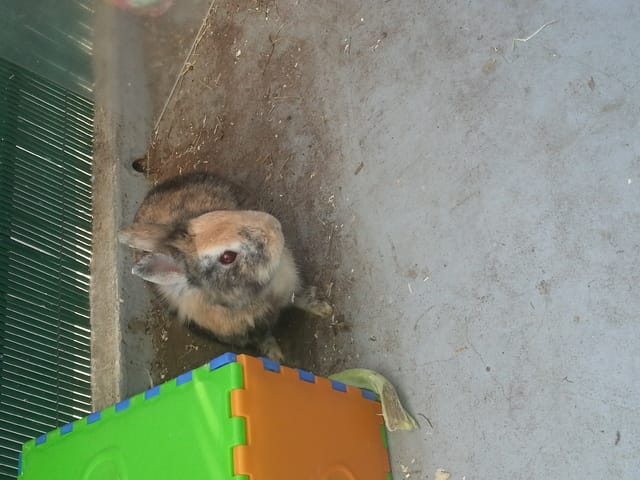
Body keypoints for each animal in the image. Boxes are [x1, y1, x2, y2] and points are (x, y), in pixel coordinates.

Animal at [118, 172, 333, 362]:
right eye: (227, 257)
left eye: (216, 214)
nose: (274, 225)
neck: (256, 294)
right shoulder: (248, 334)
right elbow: (265, 340)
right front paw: (277, 358)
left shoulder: (291, 288)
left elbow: (304, 298)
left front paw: (324, 310)